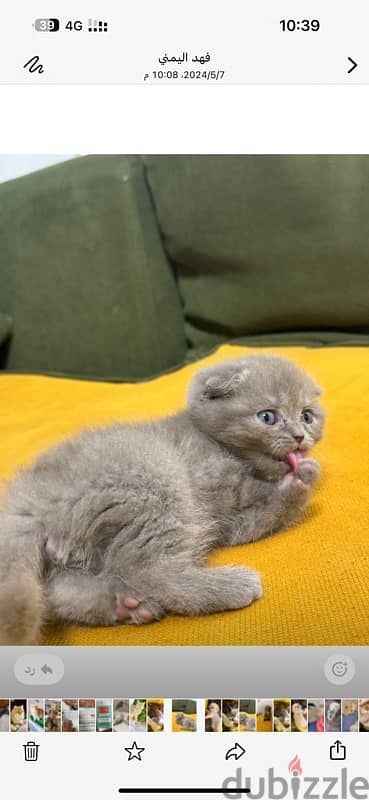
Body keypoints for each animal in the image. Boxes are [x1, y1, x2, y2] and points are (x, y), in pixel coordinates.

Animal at [0, 356, 322, 644]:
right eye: (267, 417)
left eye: (307, 416)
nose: (299, 436)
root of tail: (27, 499)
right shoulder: (213, 486)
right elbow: (263, 497)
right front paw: (302, 477)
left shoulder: (228, 522)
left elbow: (259, 519)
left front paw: (299, 475)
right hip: (155, 477)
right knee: (148, 570)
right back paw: (231, 586)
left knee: (60, 592)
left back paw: (124, 605)